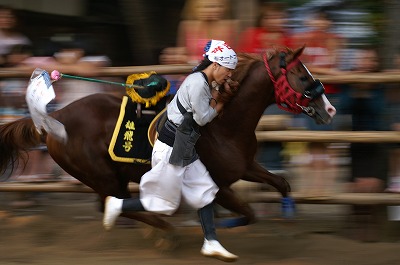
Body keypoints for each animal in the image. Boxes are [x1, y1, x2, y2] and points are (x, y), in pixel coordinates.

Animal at [0, 47, 336, 231]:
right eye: (302, 76)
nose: (329, 109)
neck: (225, 127)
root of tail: (55, 117)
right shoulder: (218, 185)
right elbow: (247, 213)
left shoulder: (245, 166)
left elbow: (282, 183)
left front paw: (289, 212)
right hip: (101, 175)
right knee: (113, 204)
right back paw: (164, 230)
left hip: (110, 176)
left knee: (112, 204)